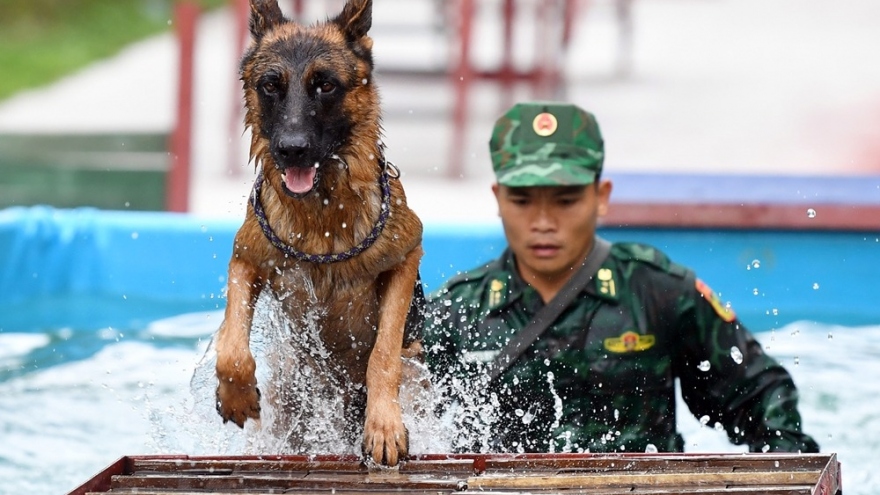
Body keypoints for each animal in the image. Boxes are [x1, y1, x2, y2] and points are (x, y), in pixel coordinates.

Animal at [211, 0, 422, 468]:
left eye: (325, 86)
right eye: (270, 86)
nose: (292, 150)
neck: (323, 220)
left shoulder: (406, 257)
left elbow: (383, 353)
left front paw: (383, 425)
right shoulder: (246, 258)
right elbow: (232, 348)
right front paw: (235, 395)